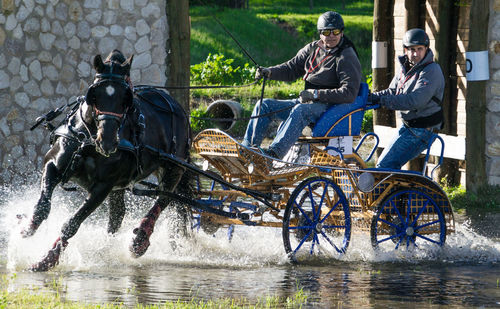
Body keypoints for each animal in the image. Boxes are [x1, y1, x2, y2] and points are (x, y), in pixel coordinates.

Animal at [20, 50, 191, 270]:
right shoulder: (52, 164)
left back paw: (139, 240)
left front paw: (48, 258)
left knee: (164, 199)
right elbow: (43, 205)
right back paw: (104, 249)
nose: (108, 141)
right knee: (119, 215)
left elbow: (72, 223)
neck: (88, 140)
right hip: (123, 184)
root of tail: (178, 107)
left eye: (125, 99)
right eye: (95, 95)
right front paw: (26, 228)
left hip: (173, 168)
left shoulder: (103, 187)